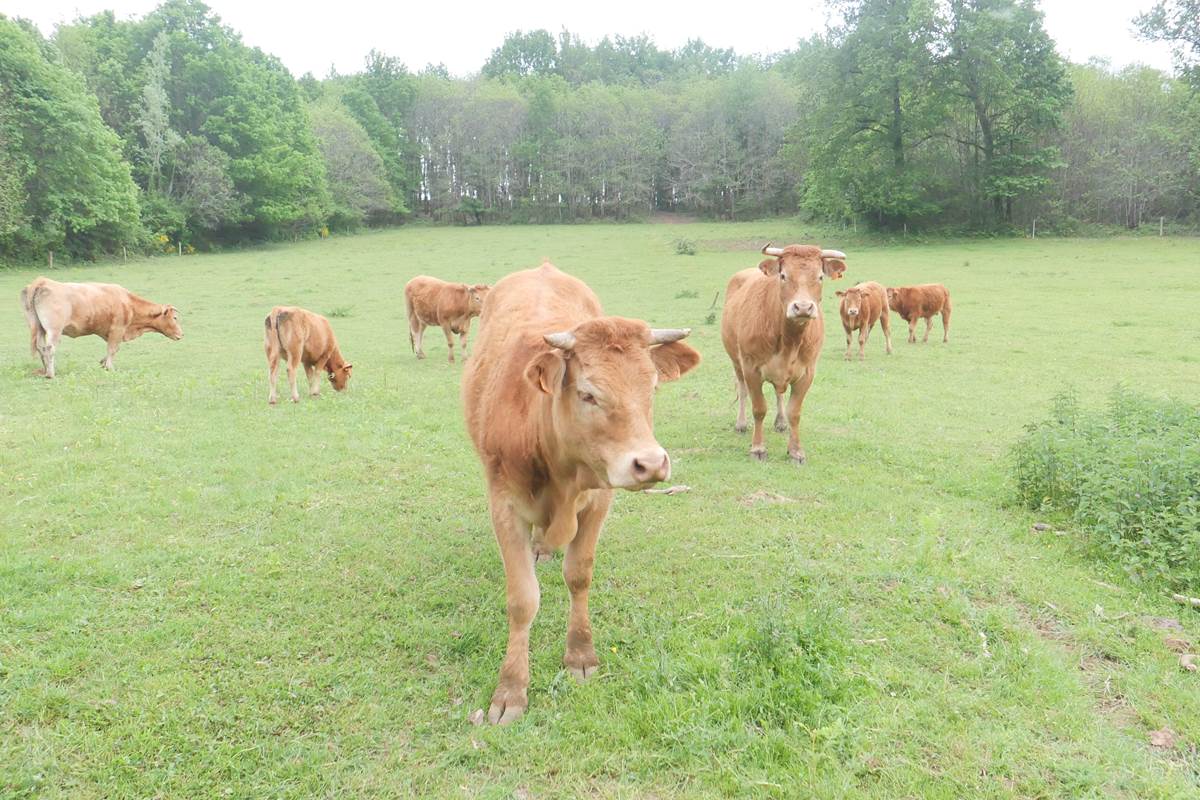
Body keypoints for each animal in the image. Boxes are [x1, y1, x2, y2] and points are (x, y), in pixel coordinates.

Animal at [19, 277, 182, 381]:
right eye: (175, 318)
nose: (182, 334)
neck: (128, 303)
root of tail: (43, 281)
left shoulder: (109, 332)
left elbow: (111, 349)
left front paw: (103, 363)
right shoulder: (117, 329)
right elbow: (113, 349)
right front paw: (110, 367)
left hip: (38, 327)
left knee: (40, 347)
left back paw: (45, 370)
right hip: (54, 329)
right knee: (49, 348)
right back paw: (50, 374)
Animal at [460, 261, 700, 724]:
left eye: (652, 388)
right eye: (588, 393)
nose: (650, 463)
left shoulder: (601, 497)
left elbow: (579, 573)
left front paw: (580, 655)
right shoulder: (504, 506)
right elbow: (523, 599)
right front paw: (511, 689)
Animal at [715, 242, 849, 462]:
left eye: (820, 276)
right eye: (783, 275)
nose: (802, 307)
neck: (788, 341)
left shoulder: (807, 372)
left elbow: (794, 412)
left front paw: (795, 451)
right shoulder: (751, 368)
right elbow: (759, 408)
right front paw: (758, 448)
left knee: (779, 394)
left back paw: (780, 422)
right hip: (736, 361)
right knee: (742, 390)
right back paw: (741, 423)